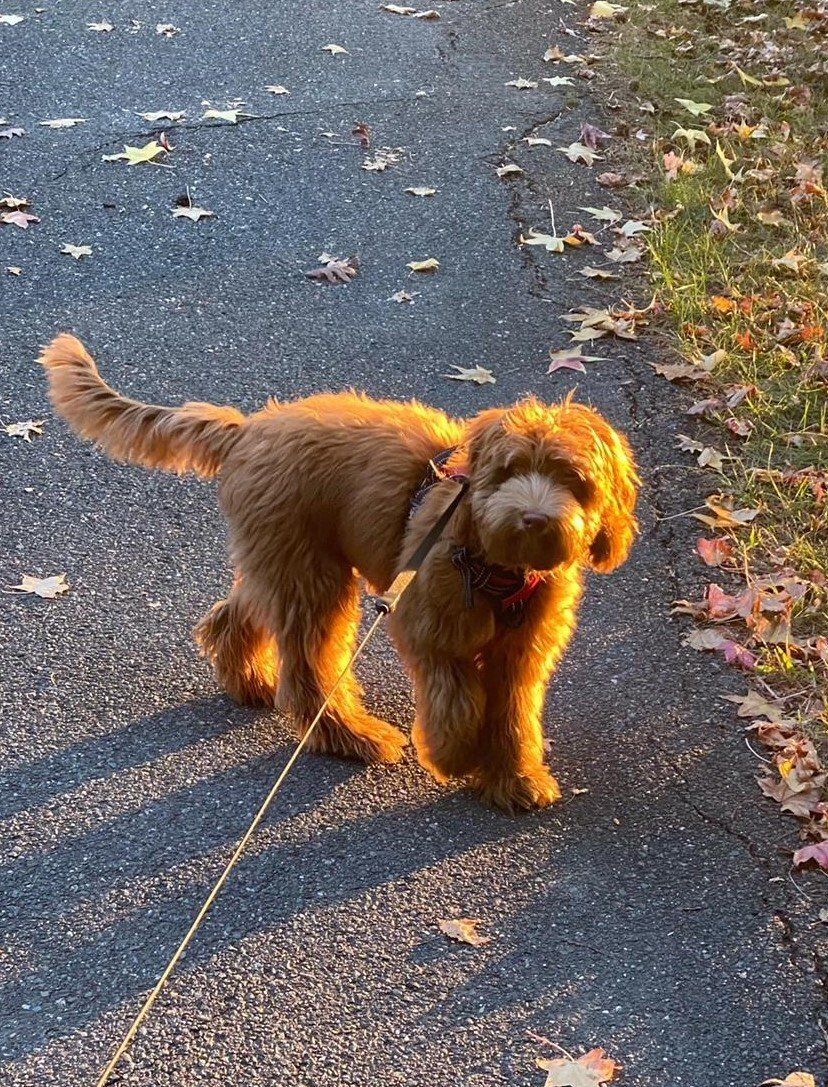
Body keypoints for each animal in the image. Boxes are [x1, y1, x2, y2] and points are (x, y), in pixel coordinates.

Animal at [40, 334, 639, 811]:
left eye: (573, 479)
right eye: (509, 470)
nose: (533, 517)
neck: (494, 562)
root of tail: (249, 427)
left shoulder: (522, 651)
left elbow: (513, 713)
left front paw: (516, 779)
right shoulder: (429, 626)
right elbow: (456, 695)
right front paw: (456, 754)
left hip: (282, 559)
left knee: (239, 613)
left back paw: (248, 678)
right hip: (309, 573)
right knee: (309, 667)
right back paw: (349, 734)